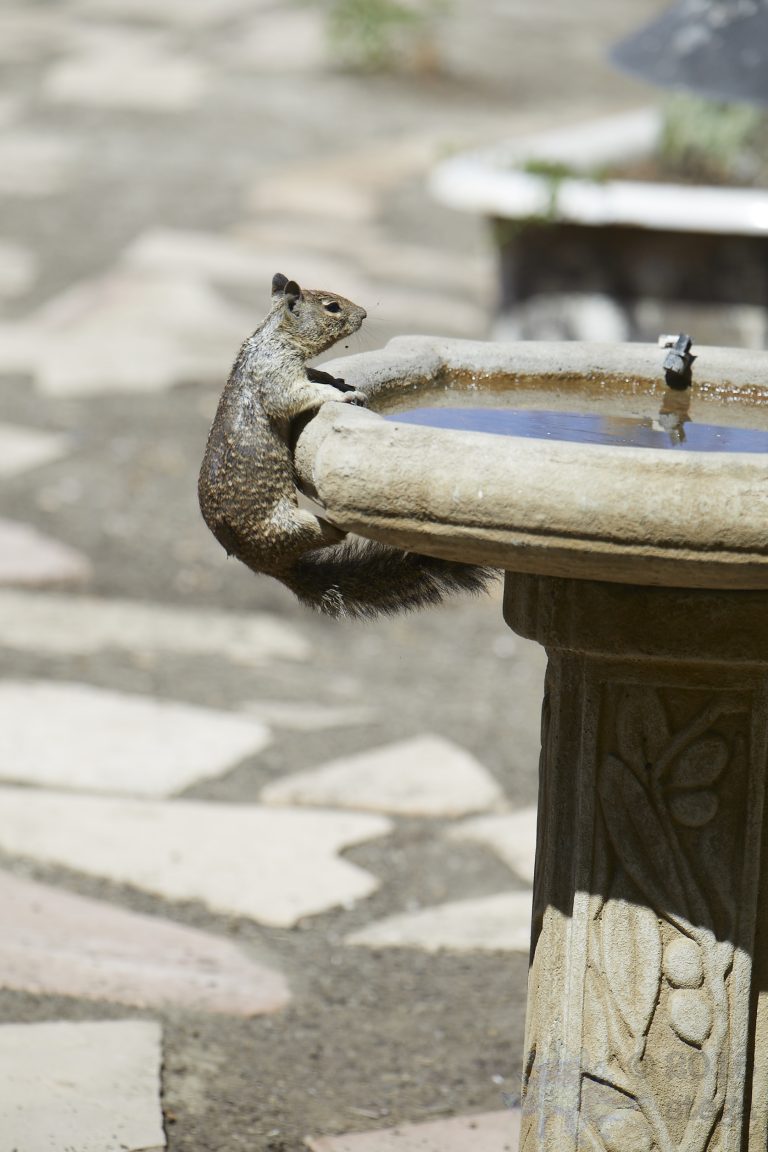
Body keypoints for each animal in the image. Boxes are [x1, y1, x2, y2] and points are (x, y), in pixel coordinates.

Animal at [198, 273, 495, 619]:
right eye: (332, 307)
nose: (364, 314)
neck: (273, 336)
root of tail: (273, 568)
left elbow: (313, 375)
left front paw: (334, 379)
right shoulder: (277, 375)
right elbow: (298, 394)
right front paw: (342, 394)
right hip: (290, 527)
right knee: (331, 535)